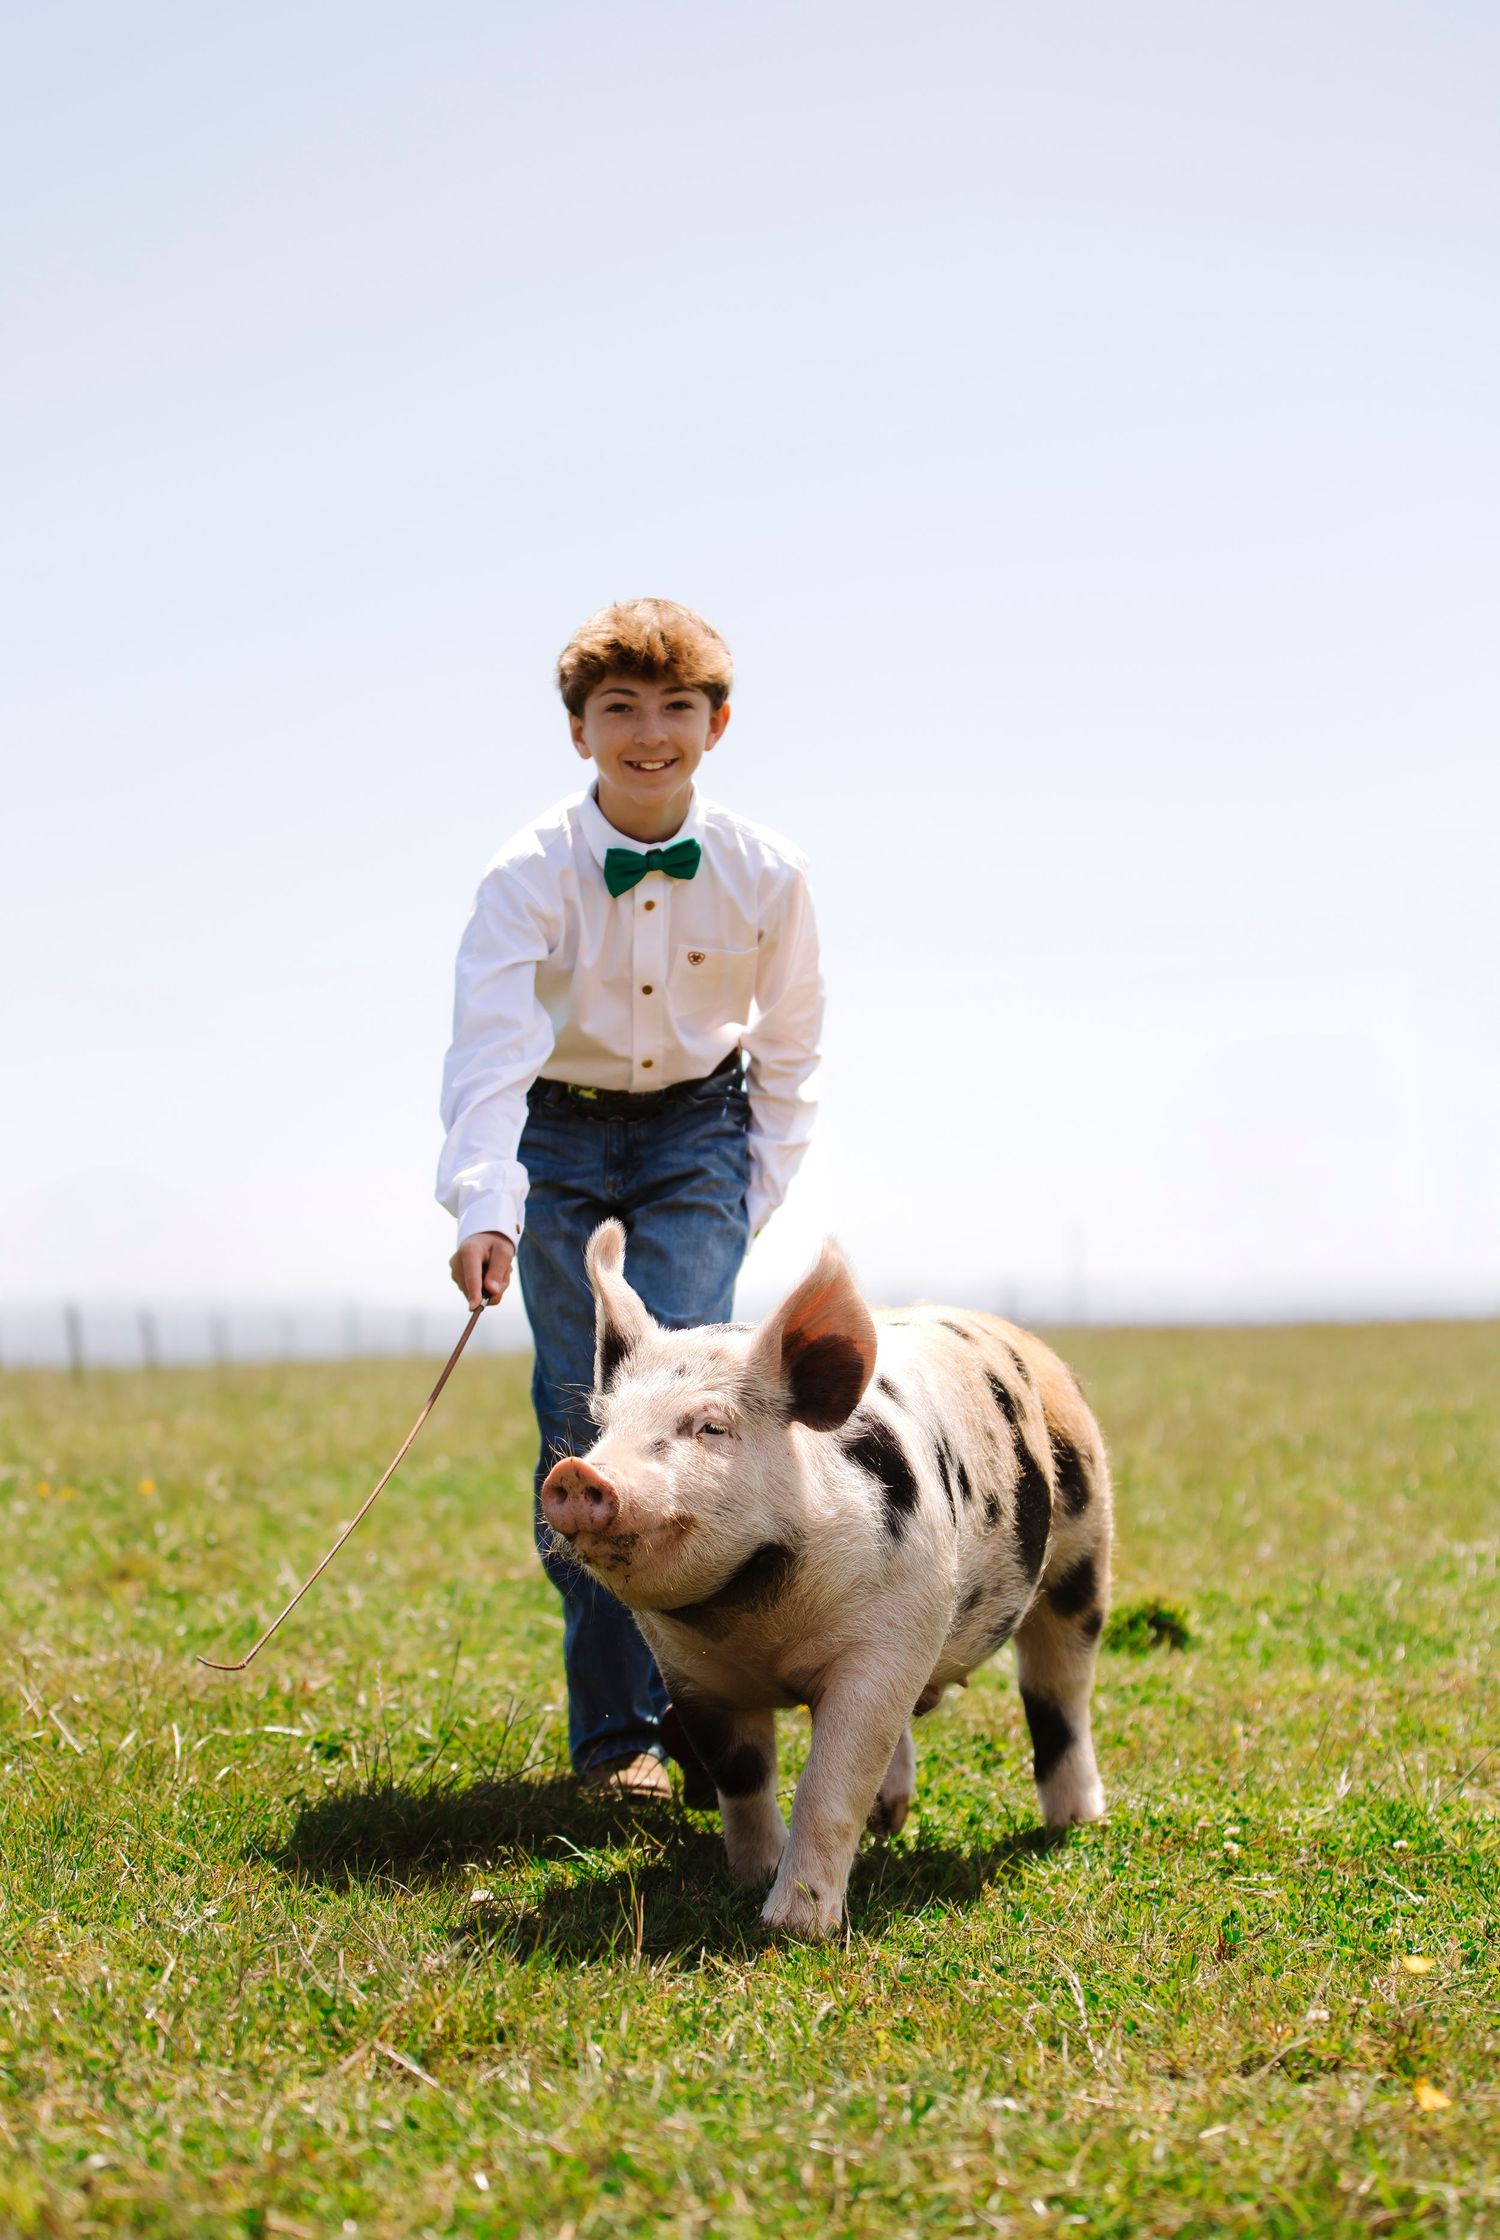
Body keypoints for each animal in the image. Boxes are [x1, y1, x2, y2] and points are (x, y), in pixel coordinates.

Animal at [540, 1220, 1112, 1939]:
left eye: (712, 1426)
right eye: (605, 1426)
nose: (576, 1474)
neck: (759, 1624)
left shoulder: (890, 1637)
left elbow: (830, 1782)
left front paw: (792, 1929)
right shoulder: (690, 1676)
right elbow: (741, 1775)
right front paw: (751, 1874)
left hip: (1083, 1551)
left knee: (1059, 1690)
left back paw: (1077, 1821)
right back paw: (890, 1821)